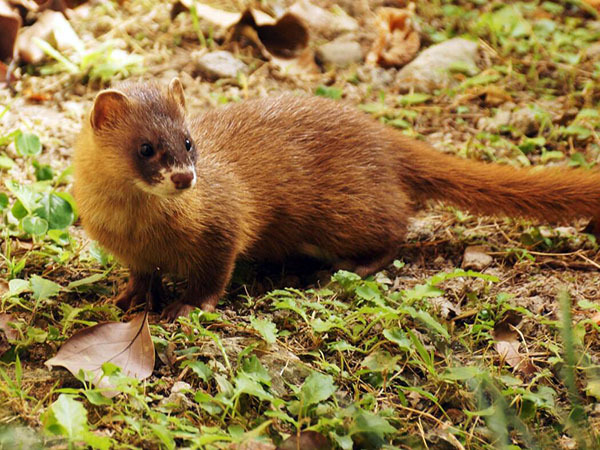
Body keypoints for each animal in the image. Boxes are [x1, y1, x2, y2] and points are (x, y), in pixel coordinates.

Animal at [72, 80, 600, 320]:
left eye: (187, 141)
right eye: (146, 147)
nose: (184, 178)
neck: (139, 229)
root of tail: (381, 135)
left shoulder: (224, 225)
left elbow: (214, 274)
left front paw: (185, 308)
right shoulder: (130, 251)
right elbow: (141, 276)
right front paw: (128, 297)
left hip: (344, 213)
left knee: (396, 227)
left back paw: (346, 269)